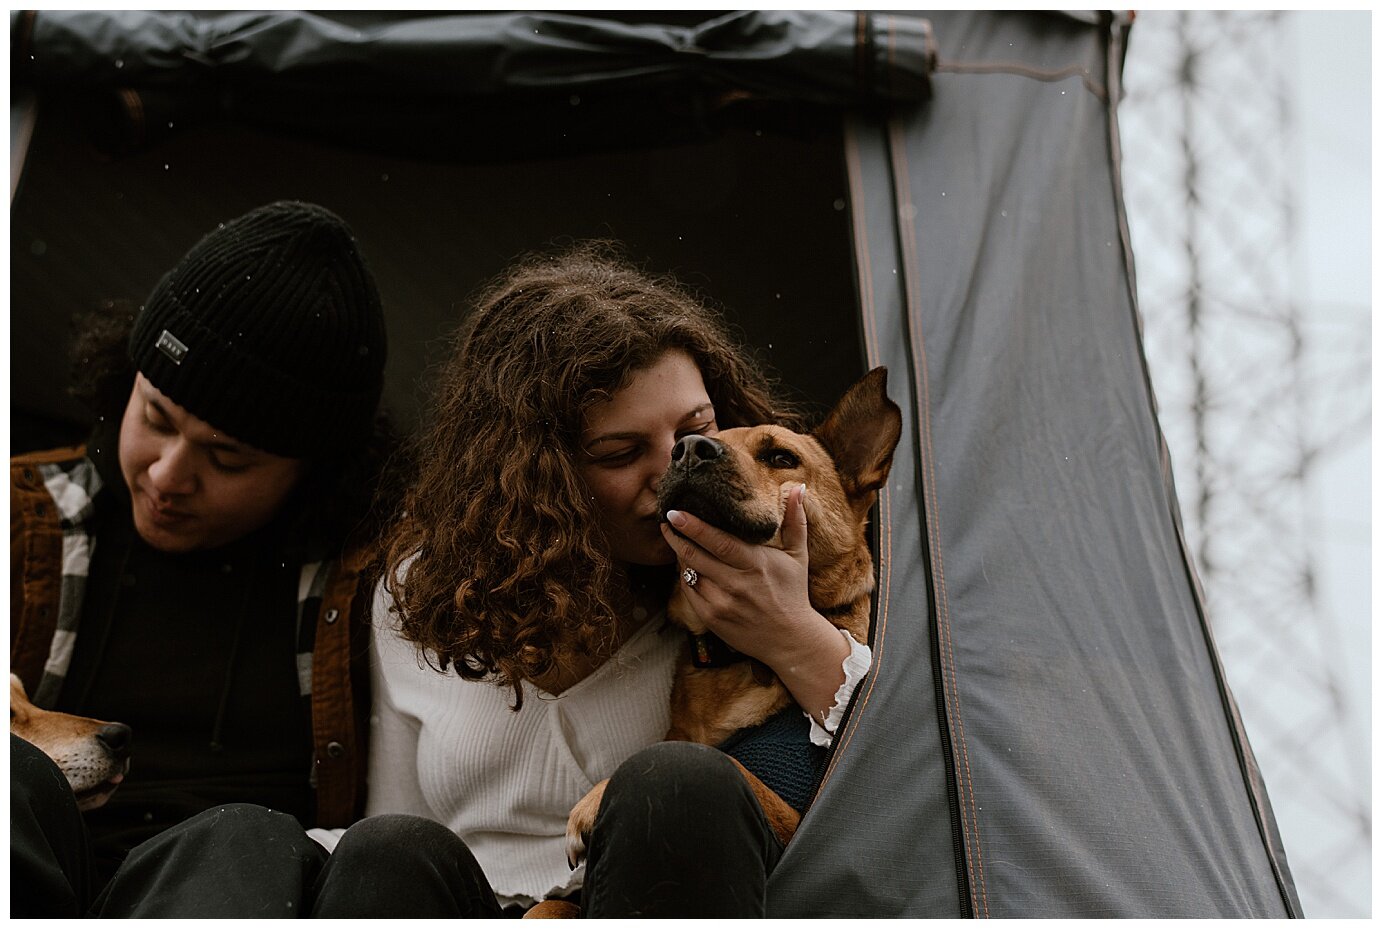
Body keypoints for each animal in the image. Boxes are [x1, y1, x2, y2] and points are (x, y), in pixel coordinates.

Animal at [563, 367, 906, 873]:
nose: (687, 448)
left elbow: (722, 763)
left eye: (781, 457)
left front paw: (595, 799)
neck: (736, 659)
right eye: (683, 442)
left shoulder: (796, 819)